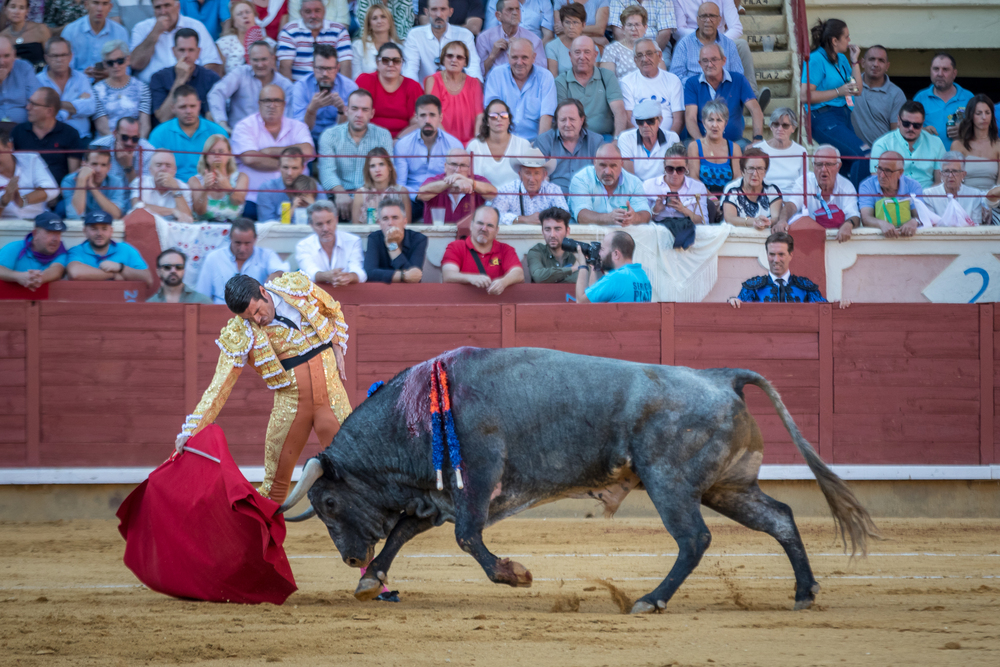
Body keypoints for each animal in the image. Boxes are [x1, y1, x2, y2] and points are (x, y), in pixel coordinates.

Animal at [278, 350, 880, 616]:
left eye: (328, 502)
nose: (350, 558)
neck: (416, 414)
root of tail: (720, 377)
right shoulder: (441, 495)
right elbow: (405, 530)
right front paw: (371, 579)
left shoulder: (477, 480)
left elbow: (467, 538)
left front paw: (515, 574)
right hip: (727, 487)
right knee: (779, 518)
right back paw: (803, 593)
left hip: (669, 484)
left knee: (695, 539)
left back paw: (649, 600)